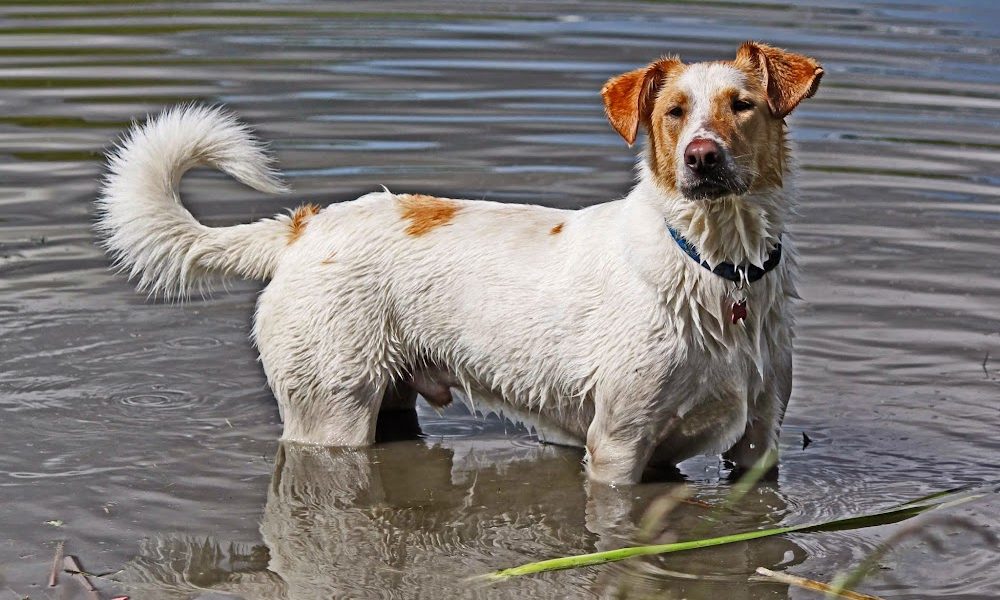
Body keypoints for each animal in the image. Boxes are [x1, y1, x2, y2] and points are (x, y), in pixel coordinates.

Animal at [97, 41, 824, 482]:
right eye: (674, 113)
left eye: (743, 106)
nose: (701, 156)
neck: (715, 267)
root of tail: (302, 229)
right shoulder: (618, 446)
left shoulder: (758, 442)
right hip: (330, 417)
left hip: (390, 406)